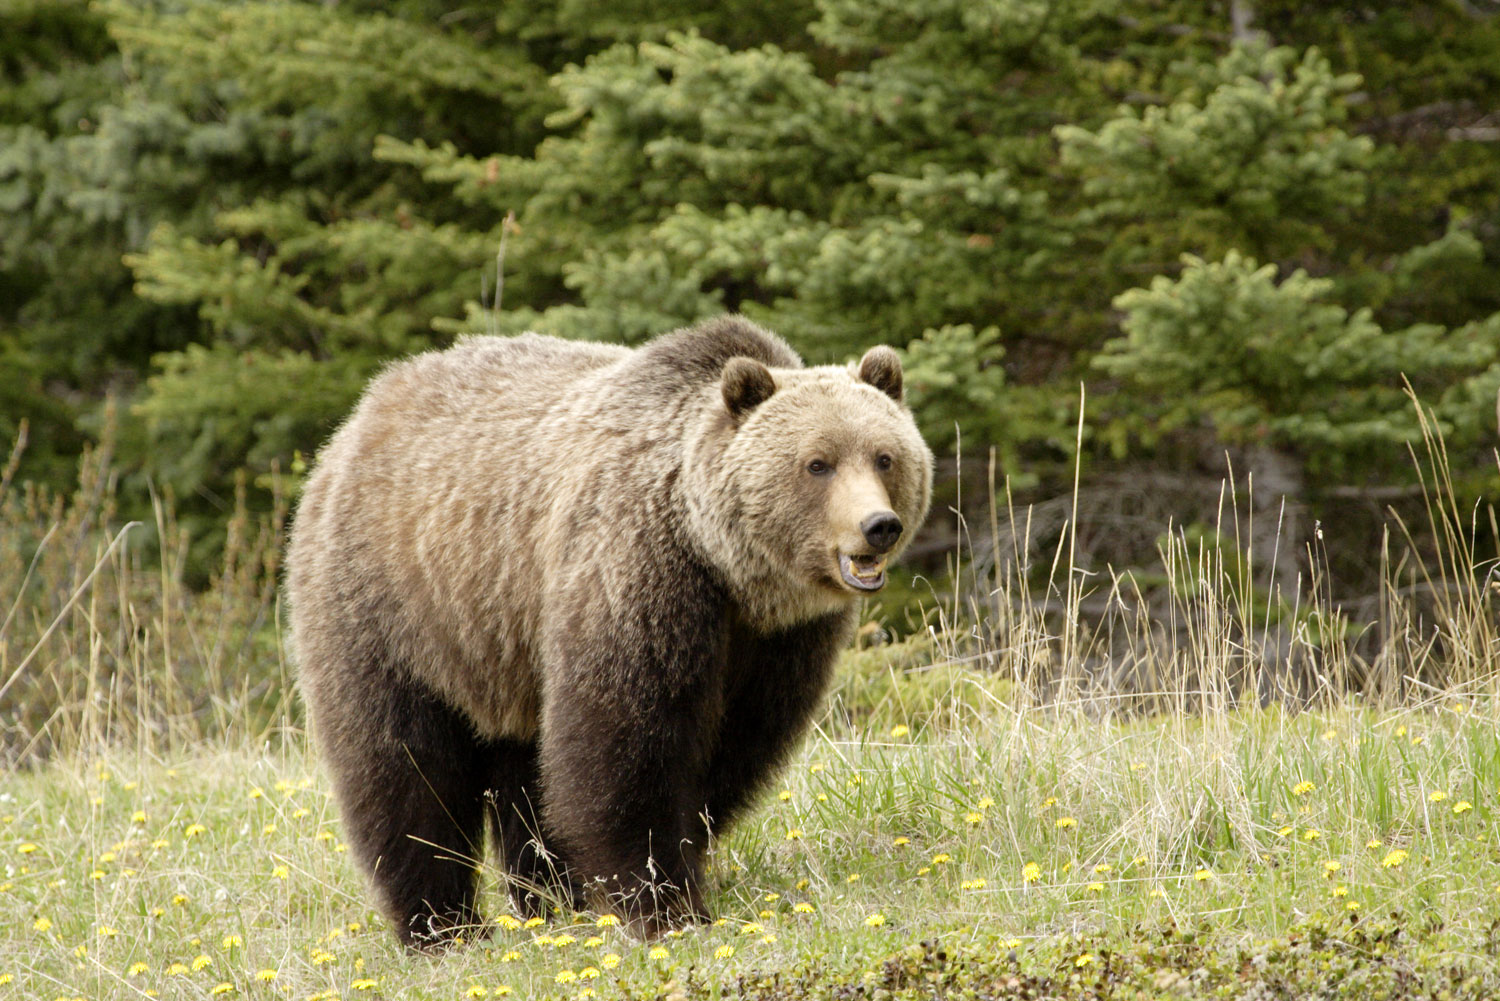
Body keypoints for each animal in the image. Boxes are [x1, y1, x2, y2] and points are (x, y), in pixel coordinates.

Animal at [284, 315, 933, 948]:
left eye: (884, 457)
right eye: (817, 463)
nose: (877, 525)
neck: (725, 566)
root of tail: (357, 419)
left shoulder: (778, 641)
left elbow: (732, 751)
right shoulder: (634, 571)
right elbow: (624, 747)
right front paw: (665, 906)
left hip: (505, 645)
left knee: (525, 770)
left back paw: (548, 901)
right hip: (396, 606)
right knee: (404, 766)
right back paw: (443, 924)